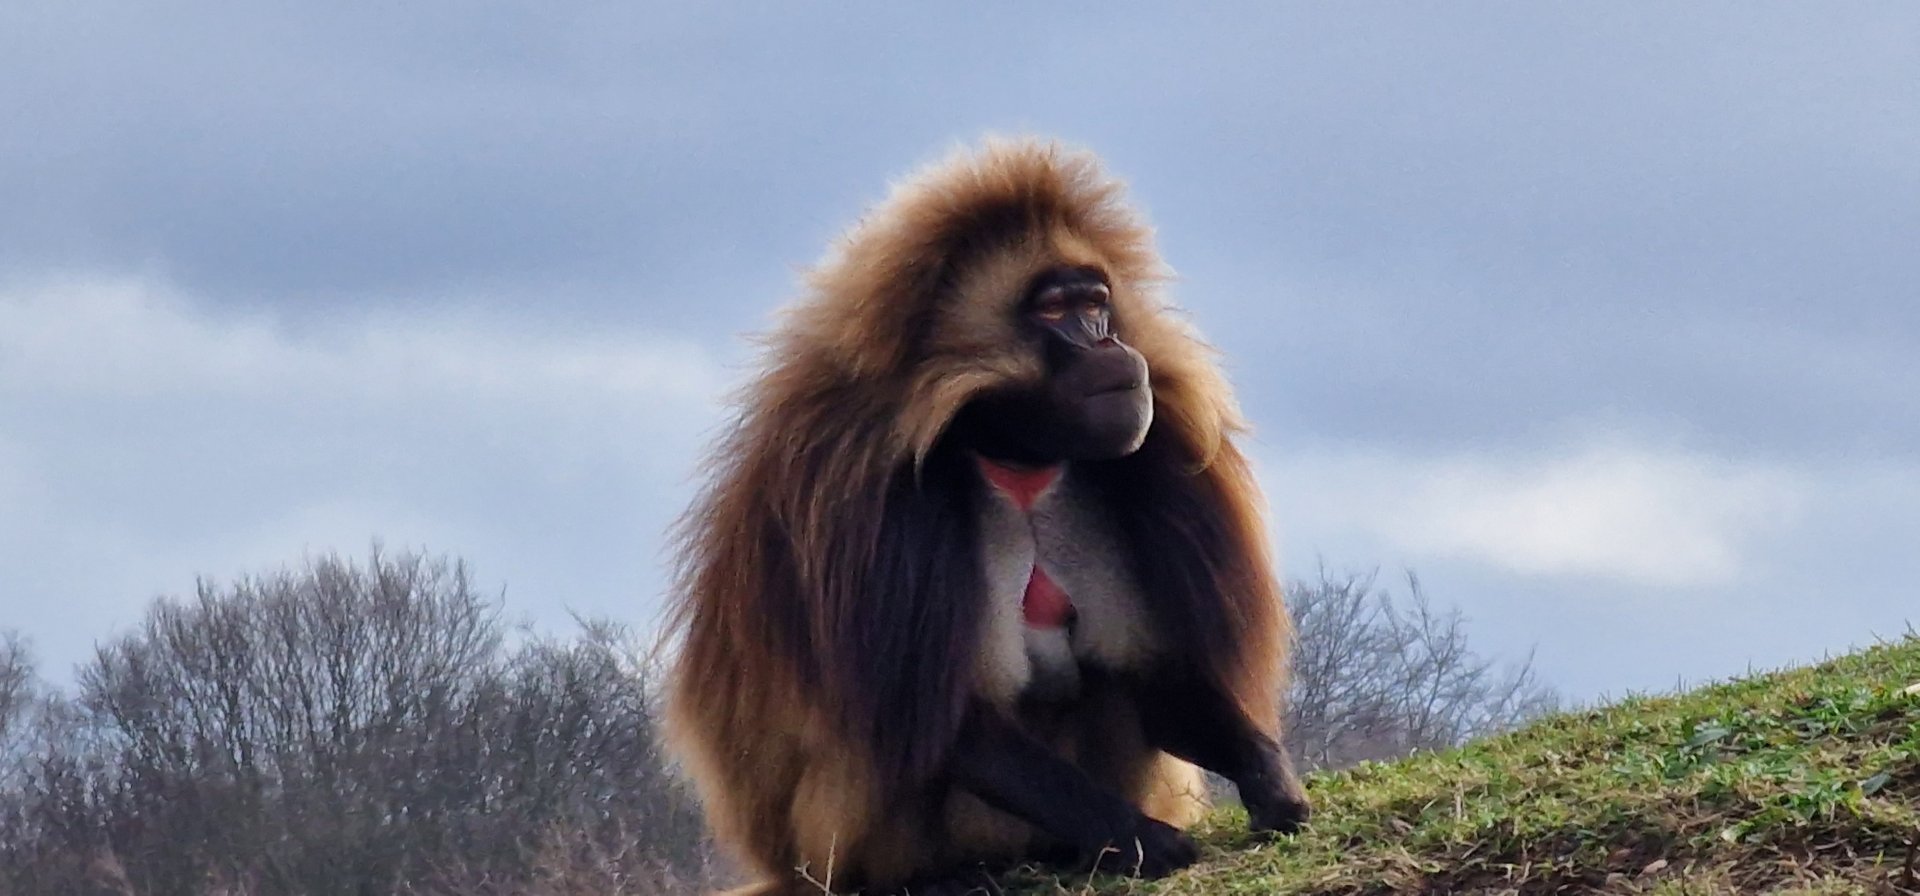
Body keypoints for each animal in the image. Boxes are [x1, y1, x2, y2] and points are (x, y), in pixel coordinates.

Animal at [662, 138, 1309, 895]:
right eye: (1055, 309)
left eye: (1098, 302)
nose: (1108, 346)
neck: (1005, 447)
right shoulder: (874, 502)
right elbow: (944, 724)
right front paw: (1147, 840)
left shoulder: (1119, 472)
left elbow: (1151, 680)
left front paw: (1271, 782)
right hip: (844, 846)